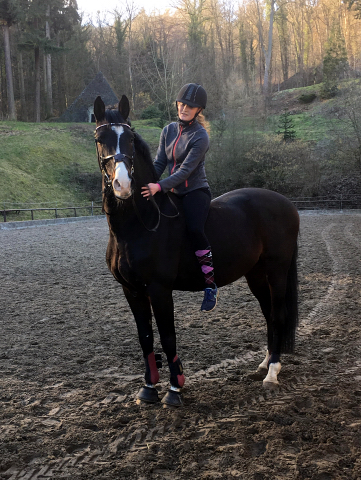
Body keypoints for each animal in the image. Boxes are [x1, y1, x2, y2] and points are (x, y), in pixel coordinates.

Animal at [93, 95, 298, 406]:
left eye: (129, 139)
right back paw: (264, 364)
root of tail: (287, 204)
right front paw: (148, 388)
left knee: (277, 314)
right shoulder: (132, 290)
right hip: (256, 274)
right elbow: (145, 337)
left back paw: (272, 373)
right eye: (99, 139)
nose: (123, 185)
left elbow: (168, 336)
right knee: (267, 313)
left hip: (277, 271)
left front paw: (174, 389)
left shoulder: (159, 289)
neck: (138, 226)